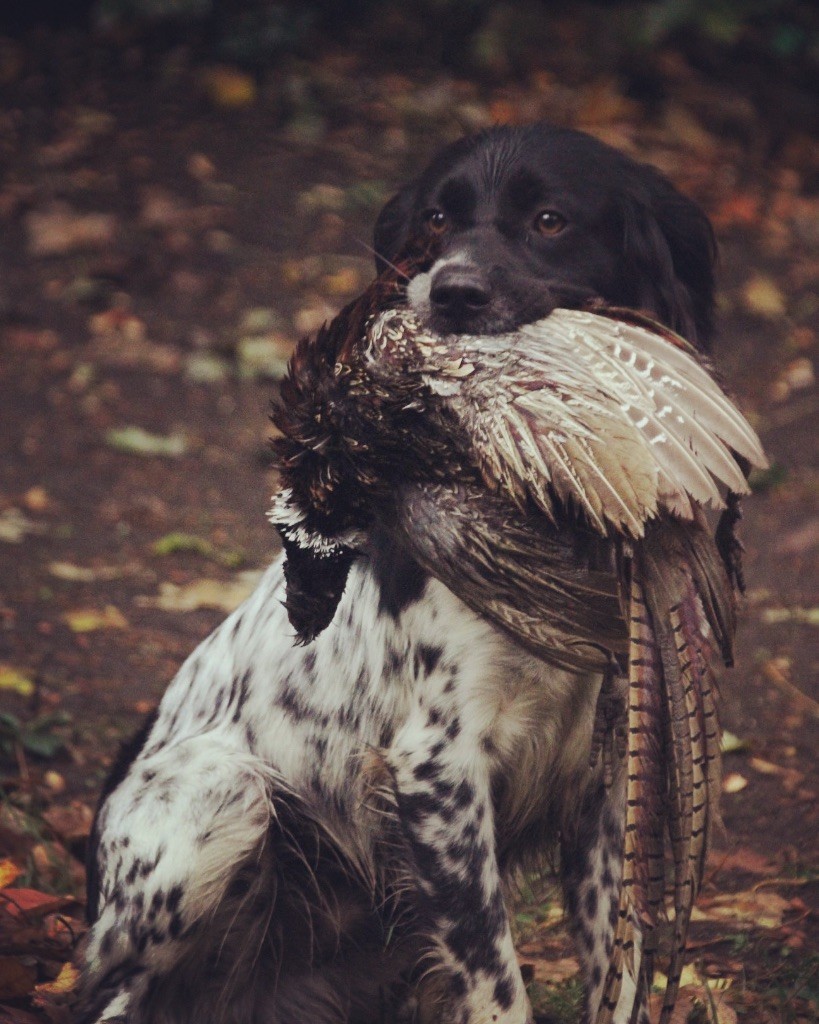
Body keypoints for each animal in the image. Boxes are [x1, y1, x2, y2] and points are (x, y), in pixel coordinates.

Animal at [76, 121, 716, 1024]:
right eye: (436, 220)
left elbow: (615, 971)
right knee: (114, 992)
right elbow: (496, 983)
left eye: (550, 219)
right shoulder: (437, 770)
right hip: (219, 795)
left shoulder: (610, 775)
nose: (449, 294)